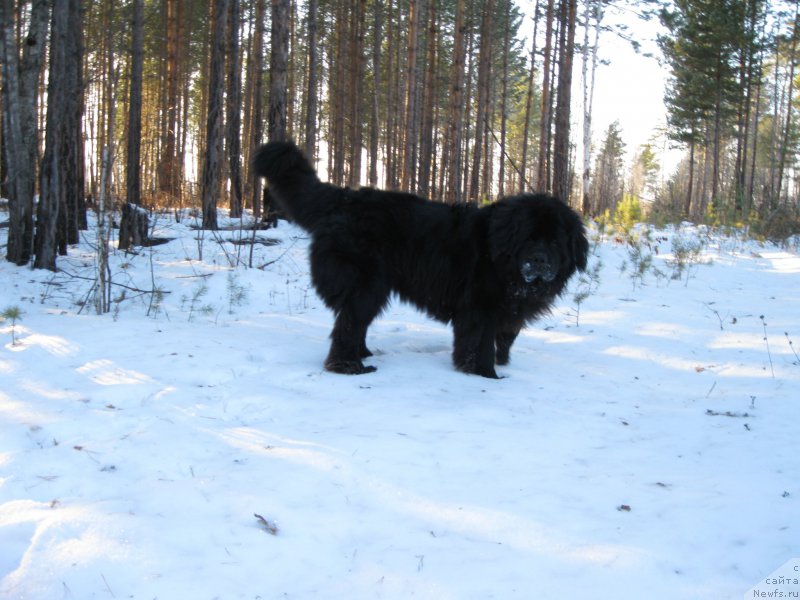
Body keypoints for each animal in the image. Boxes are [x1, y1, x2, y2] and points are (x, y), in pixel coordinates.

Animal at [253, 141, 592, 378]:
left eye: (555, 241)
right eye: (529, 238)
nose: (539, 262)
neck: (504, 263)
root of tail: (344, 198)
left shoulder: (510, 311)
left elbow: (505, 339)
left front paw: (502, 363)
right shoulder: (479, 309)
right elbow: (479, 346)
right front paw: (486, 376)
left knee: (353, 323)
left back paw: (364, 354)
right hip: (365, 284)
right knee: (348, 326)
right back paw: (350, 367)